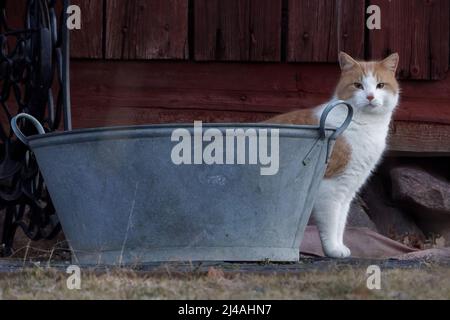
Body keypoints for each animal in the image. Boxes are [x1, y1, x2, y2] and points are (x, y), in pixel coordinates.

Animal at [266, 52, 400, 258]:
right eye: (358, 85)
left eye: (380, 85)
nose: (370, 96)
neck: (365, 125)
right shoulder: (330, 188)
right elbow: (330, 222)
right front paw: (333, 250)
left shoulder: (348, 188)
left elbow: (340, 222)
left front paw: (340, 246)